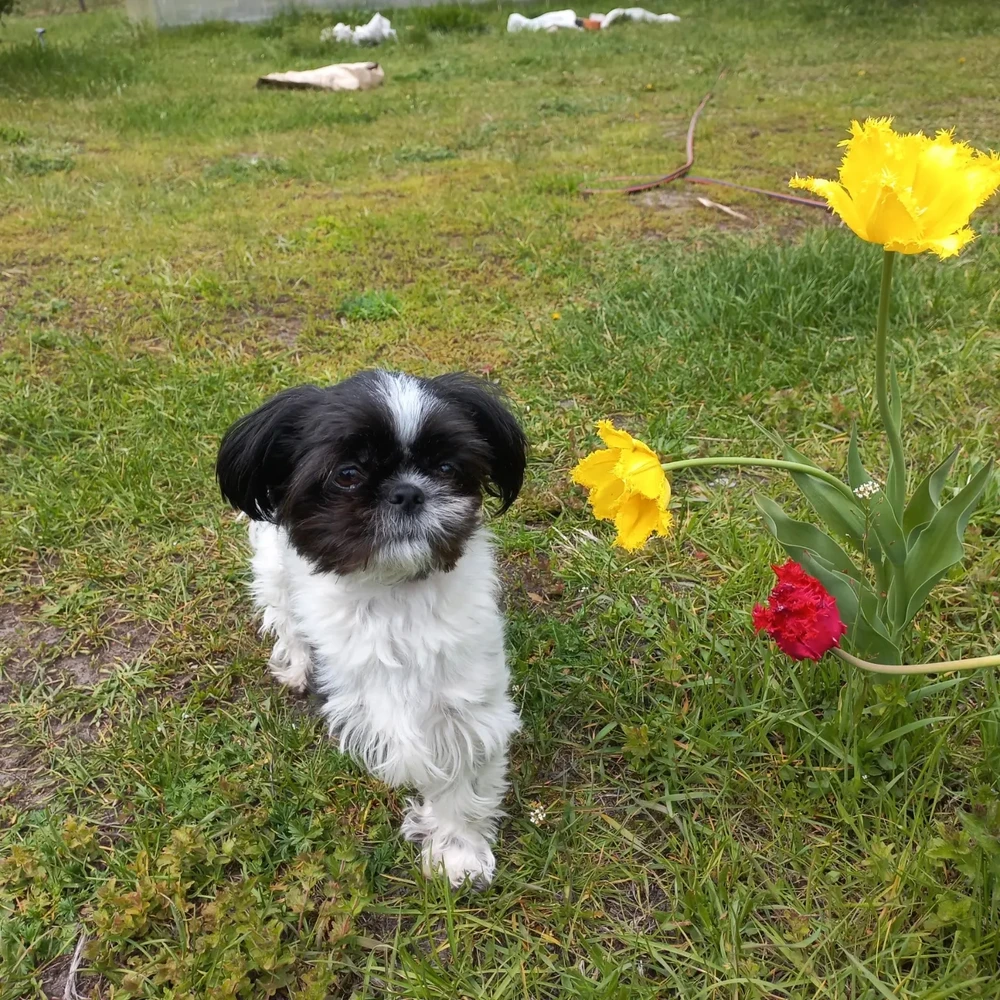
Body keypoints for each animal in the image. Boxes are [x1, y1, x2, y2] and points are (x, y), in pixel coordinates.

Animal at [217, 372, 532, 888]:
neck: (392, 595)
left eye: (446, 467)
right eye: (347, 474)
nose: (408, 491)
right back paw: (297, 665)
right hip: (273, 567)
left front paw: (459, 852)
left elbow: (462, 779)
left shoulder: (467, 703)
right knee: (285, 617)